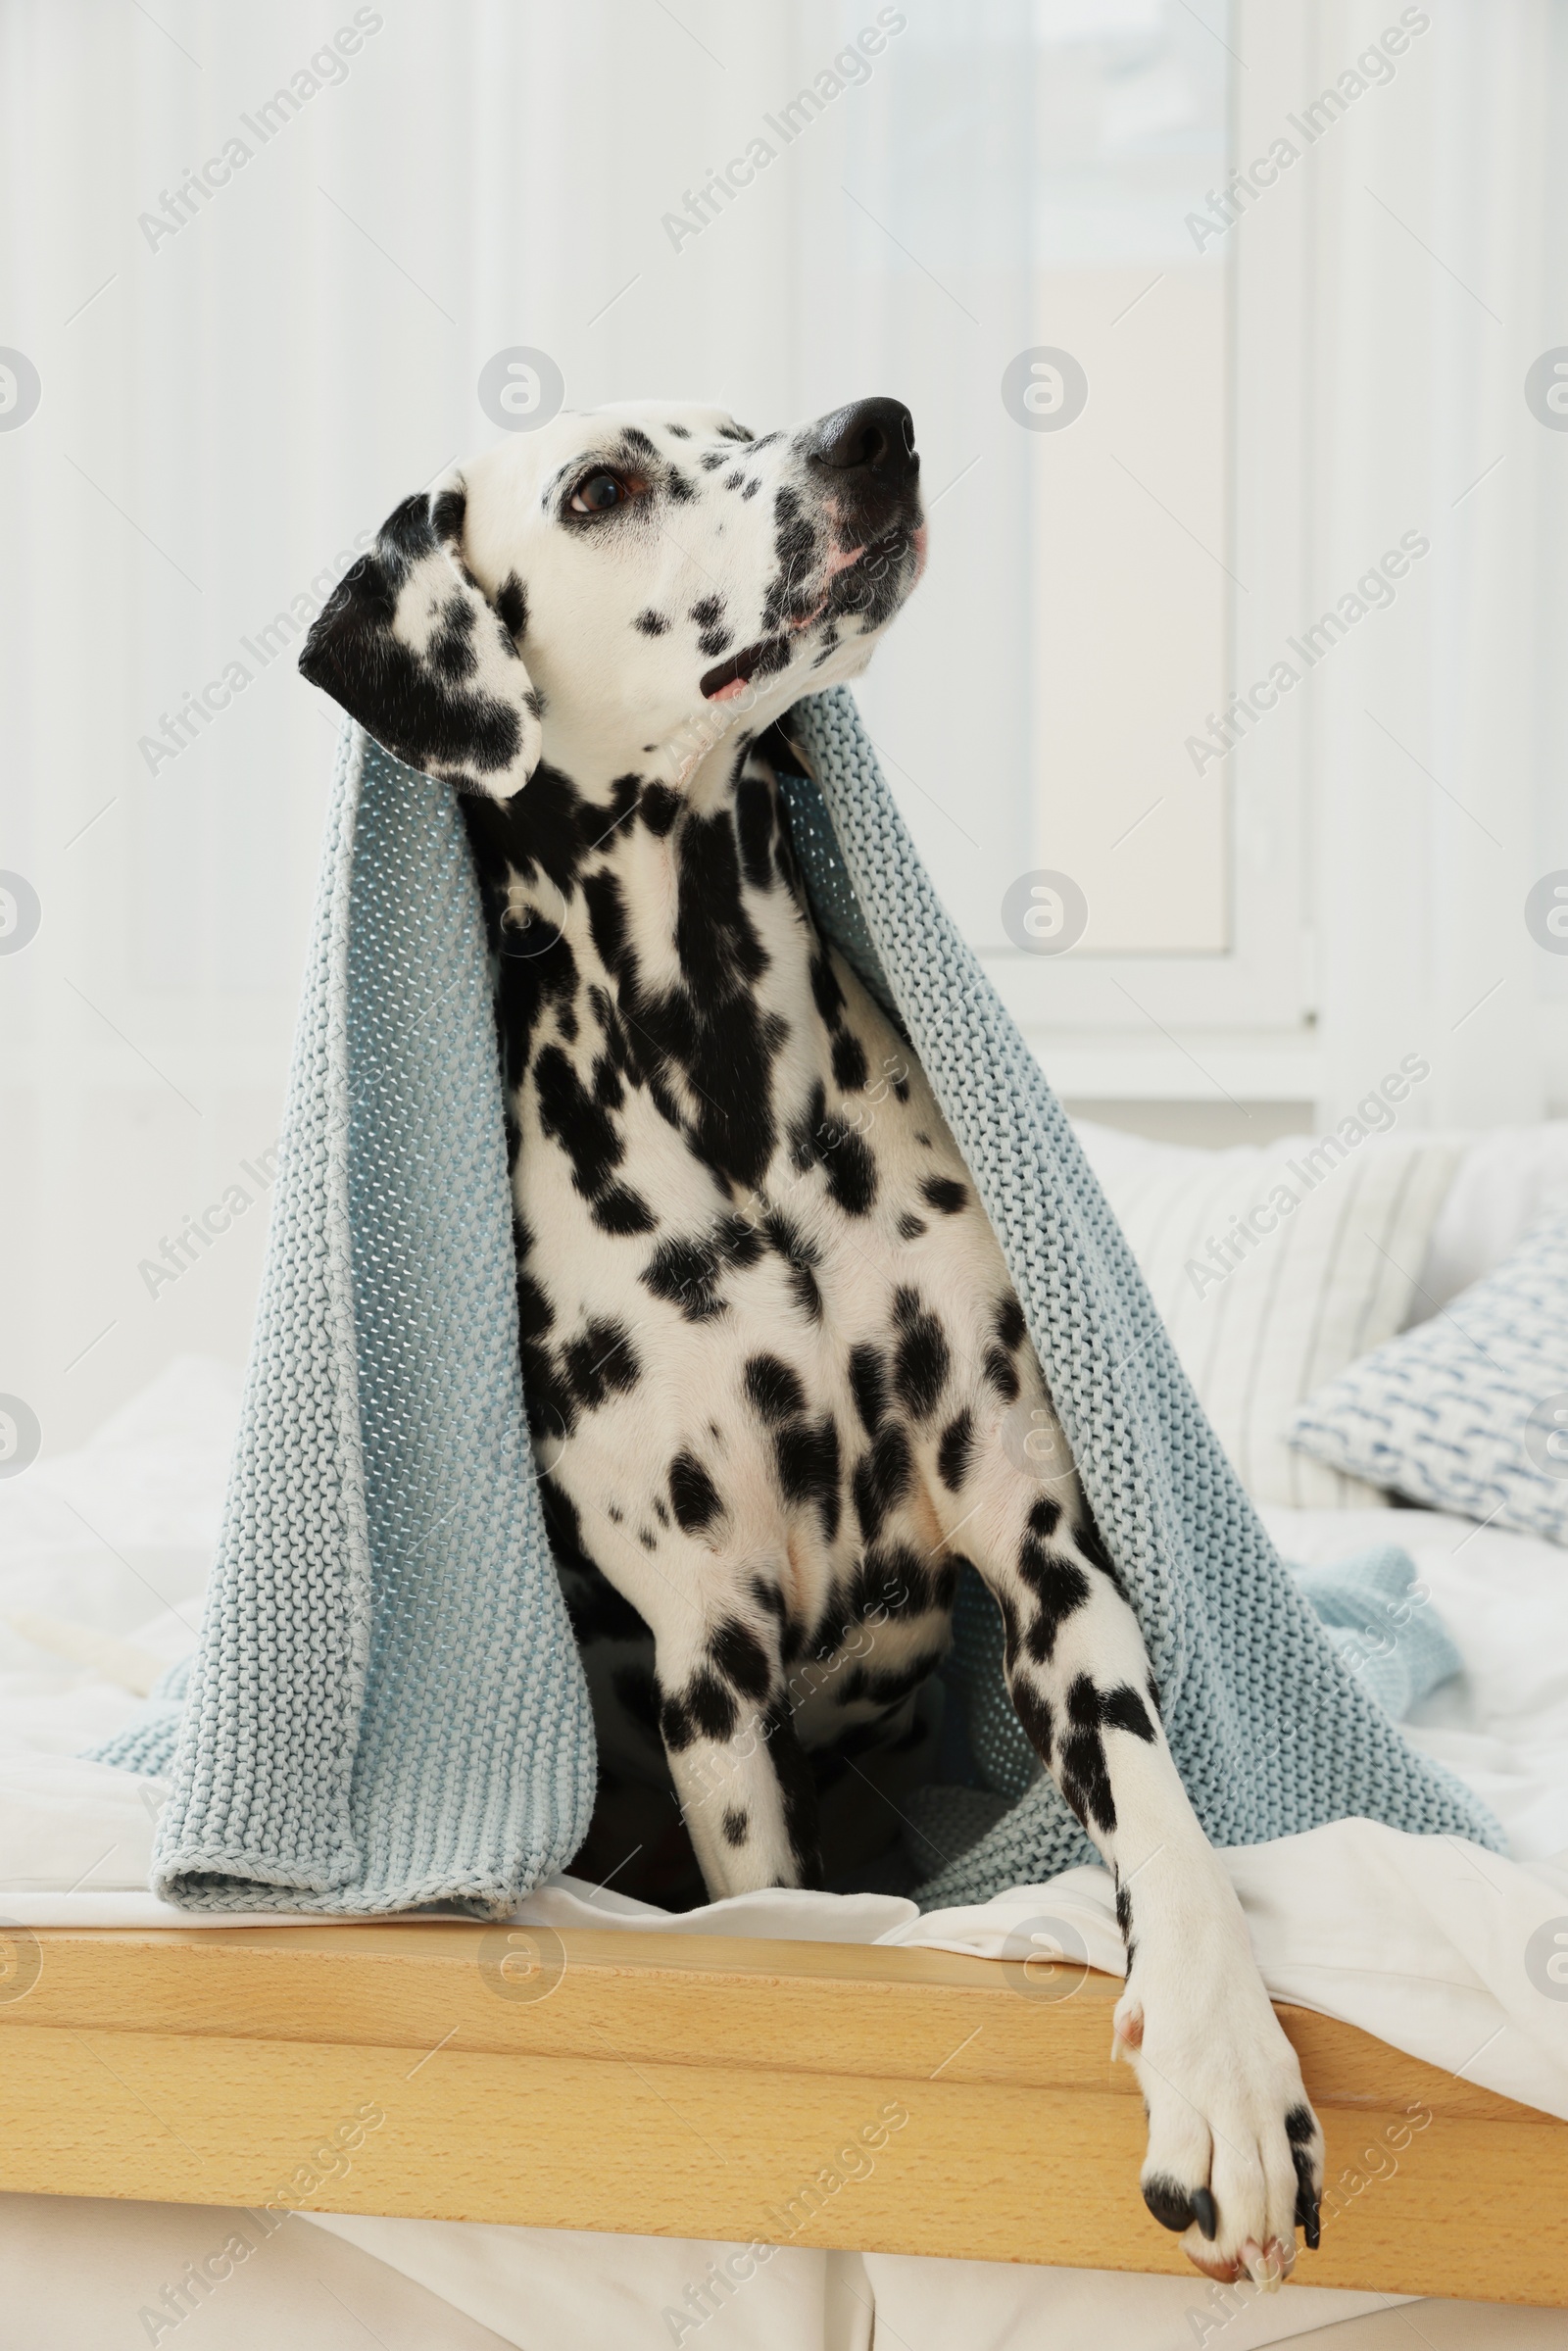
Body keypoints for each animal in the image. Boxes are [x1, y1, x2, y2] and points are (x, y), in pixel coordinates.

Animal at [297, 395, 1325, 2284]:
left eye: (740, 418)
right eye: (601, 485)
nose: (877, 429)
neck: (737, 1096)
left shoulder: (1044, 1549)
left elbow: (1162, 1812)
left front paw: (1227, 2067)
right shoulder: (710, 1657)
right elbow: (772, 1887)